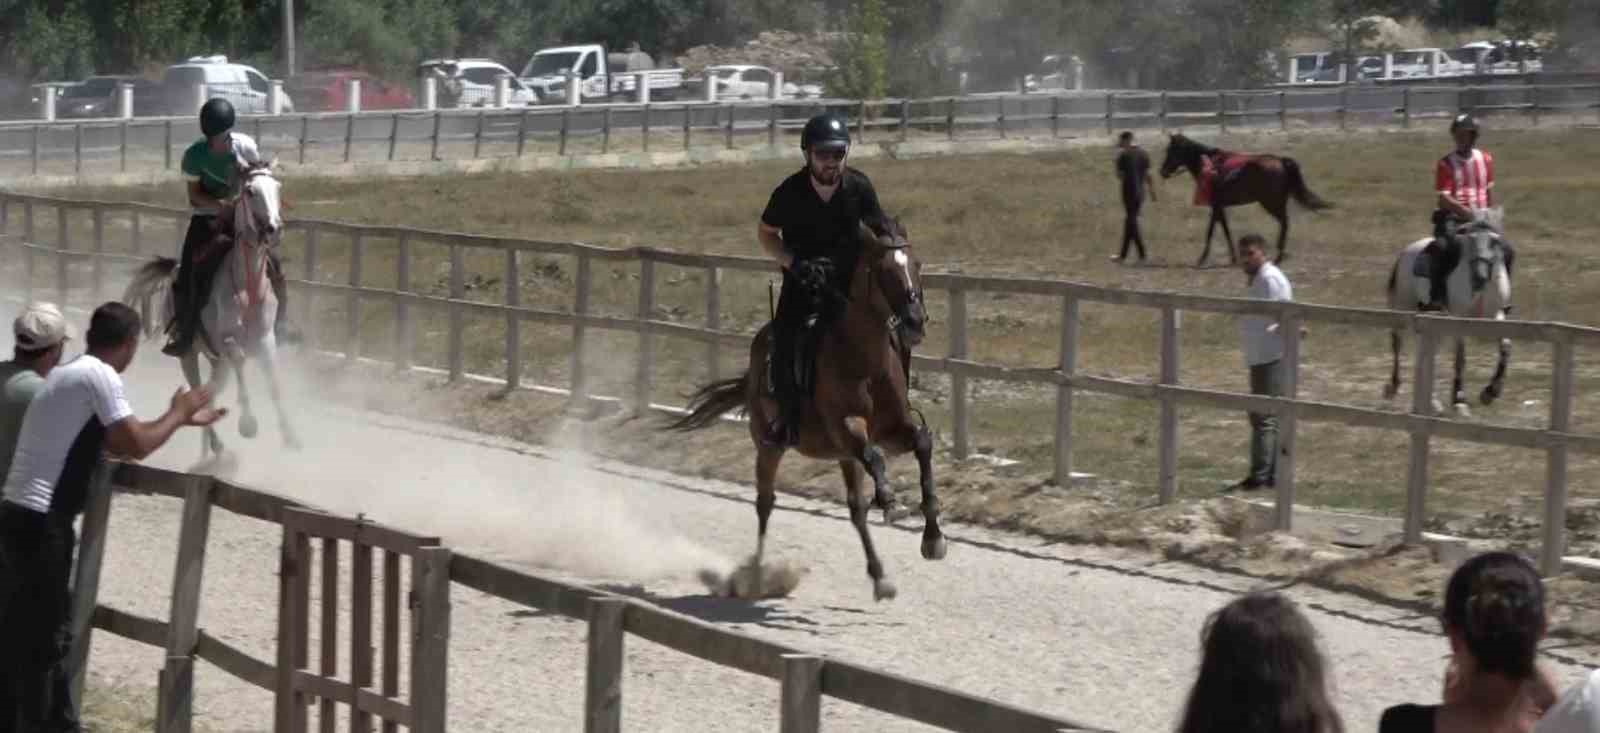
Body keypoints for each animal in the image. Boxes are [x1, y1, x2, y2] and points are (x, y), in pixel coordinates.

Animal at [124, 163, 300, 454]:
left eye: (277, 187)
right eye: (249, 191)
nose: (273, 228)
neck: (247, 284)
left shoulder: (266, 338)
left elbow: (273, 380)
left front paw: (290, 435)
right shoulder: (227, 340)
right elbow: (239, 359)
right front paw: (248, 423)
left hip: (217, 361)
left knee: (211, 390)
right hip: (189, 354)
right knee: (198, 388)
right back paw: (215, 443)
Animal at [659, 217, 934, 601]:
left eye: (917, 264)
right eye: (883, 271)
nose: (915, 321)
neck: (865, 362)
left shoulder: (892, 429)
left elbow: (921, 443)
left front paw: (933, 539)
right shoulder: (847, 427)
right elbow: (876, 456)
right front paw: (891, 501)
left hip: (840, 456)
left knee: (856, 510)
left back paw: (880, 578)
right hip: (769, 446)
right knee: (765, 503)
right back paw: (755, 578)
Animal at [1158, 132, 1331, 265]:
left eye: (1170, 151)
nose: (1162, 172)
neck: (1210, 166)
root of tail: (1281, 161)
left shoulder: (1216, 206)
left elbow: (1211, 231)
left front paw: (1202, 258)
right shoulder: (1219, 207)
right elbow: (1225, 229)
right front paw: (1233, 257)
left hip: (1271, 202)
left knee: (1284, 222)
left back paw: (1279, 255)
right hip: (1276, 202)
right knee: (1284, 223)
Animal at [1388, 206, 1510, 419]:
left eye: (1495, 241)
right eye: (1471, 239)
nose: (1479, 277)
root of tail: (1407, 251)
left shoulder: (1496, 316)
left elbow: (1505, 348)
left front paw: (1490, 392)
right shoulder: (1458, 319)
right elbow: (1460, 358)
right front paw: (1459, 401)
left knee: (1428, 353)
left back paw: (1433, 402)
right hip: (1403, 307)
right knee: (1398, 342)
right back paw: (1394, 387)